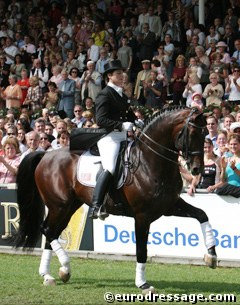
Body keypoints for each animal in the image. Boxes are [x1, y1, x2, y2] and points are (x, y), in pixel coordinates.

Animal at [13, 106, 218, 290]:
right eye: (192, 133)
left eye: (206, 133)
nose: (197, 169)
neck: (150, 161)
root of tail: (45, 155)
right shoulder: (142, 216)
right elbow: (141, 250)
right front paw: (143, 284)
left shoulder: (170, 206)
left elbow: (202, 215)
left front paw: (211, 256)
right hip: (59, 205)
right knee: (47, 229)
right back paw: (63, 267)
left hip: (69, 206)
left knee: (52, 232)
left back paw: (52, 274)